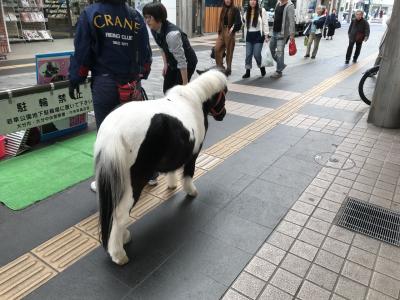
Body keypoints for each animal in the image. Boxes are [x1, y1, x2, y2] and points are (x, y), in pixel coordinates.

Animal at [93, 69, 227, 264]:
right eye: (224, 93)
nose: (222, 115)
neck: (195, 100)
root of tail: (113, 133)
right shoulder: (193, 154)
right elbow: (189, 173)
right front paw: (191, 191)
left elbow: (172, 169)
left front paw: (171, 185)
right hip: (133, 183)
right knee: (120, 214)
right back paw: (118, 254)